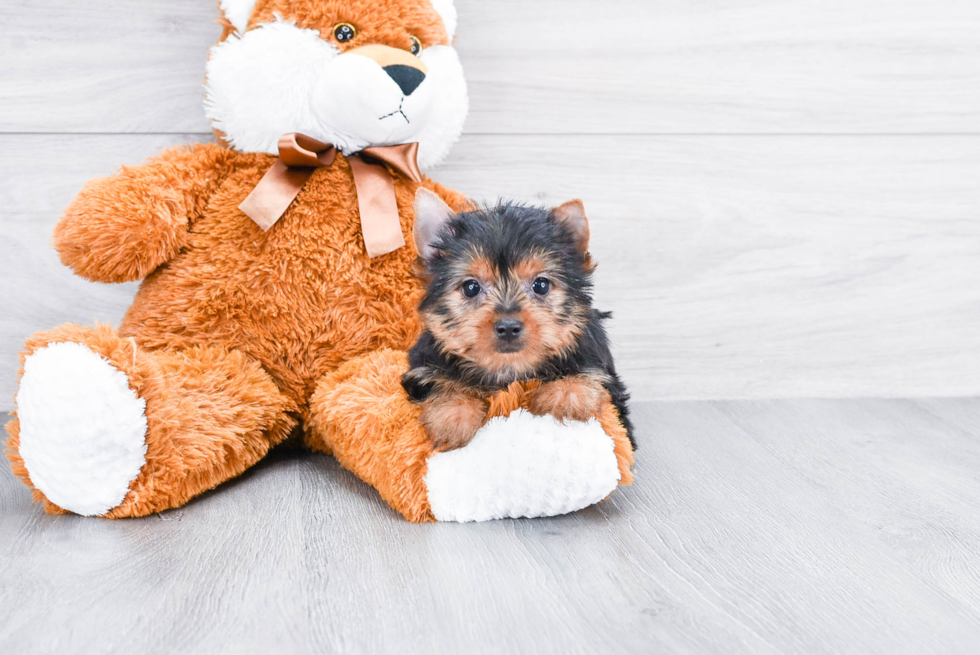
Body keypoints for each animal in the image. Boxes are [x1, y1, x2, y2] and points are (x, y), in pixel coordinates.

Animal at [400, 188, 636, 452]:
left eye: (541, 285)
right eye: (471, 288)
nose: (508, 327)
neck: (510, 370)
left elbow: (589, 375)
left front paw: (566, 395)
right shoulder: (423, 366)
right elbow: (439, 382)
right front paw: (454, 413)